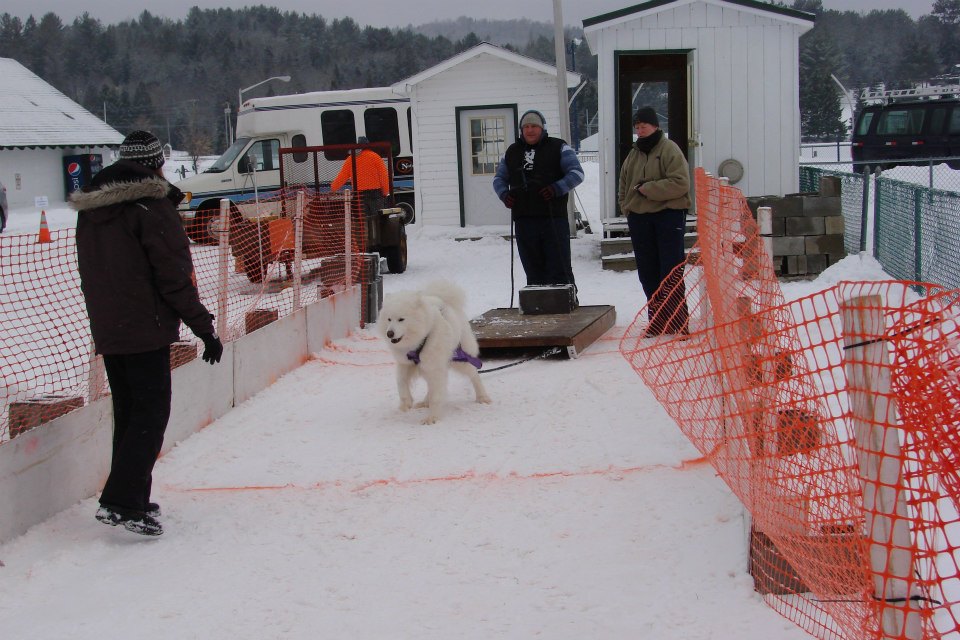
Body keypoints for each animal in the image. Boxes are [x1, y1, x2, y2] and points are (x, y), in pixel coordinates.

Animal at [378, 278, 492, 422]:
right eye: (389, 319)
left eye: (401, 319)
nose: (390, 333)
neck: (420, 340)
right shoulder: (406, 363)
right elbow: (401, 383)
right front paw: (406, 404)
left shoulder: (434, 367)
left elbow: (436, 395)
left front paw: (432, 418)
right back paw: (424, 402)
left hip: (460, 359)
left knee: (474, 375)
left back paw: (483, 397)